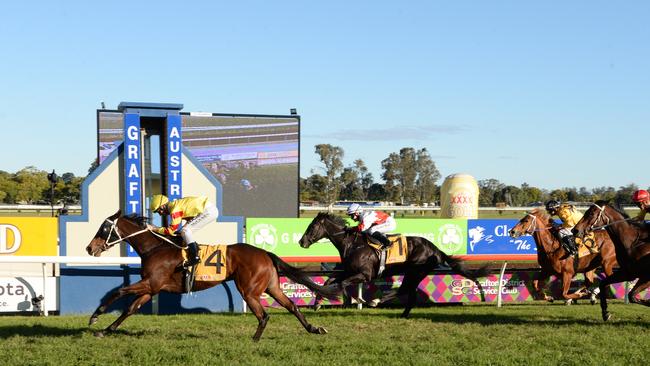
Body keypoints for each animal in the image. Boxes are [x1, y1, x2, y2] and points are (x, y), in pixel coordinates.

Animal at [84, 210, 334, 342]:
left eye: (104, 229)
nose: (89, 248)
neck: (155, 248)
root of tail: (264, 252)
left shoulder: (151, 283)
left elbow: (119, 291)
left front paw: (95, 316)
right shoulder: (152, 287)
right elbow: (130, 308)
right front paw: (105, 330)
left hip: (249, 290)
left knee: (264, 315)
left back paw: (254, 340)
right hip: (271, 286)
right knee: (291, 306)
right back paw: (314, 328)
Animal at [294, 212, 486, 318]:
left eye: (311, 227)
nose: (301, 242)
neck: (352, 244)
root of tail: (436, 249)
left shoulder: (364, 275)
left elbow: (343, 284)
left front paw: (356, 300)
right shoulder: (347, 270)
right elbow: (329, 282)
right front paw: (318, 303)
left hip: (415, 271)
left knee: (404, 290)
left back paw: (376, 301)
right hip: (415, 273)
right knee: (410, 293)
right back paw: (403, 314)